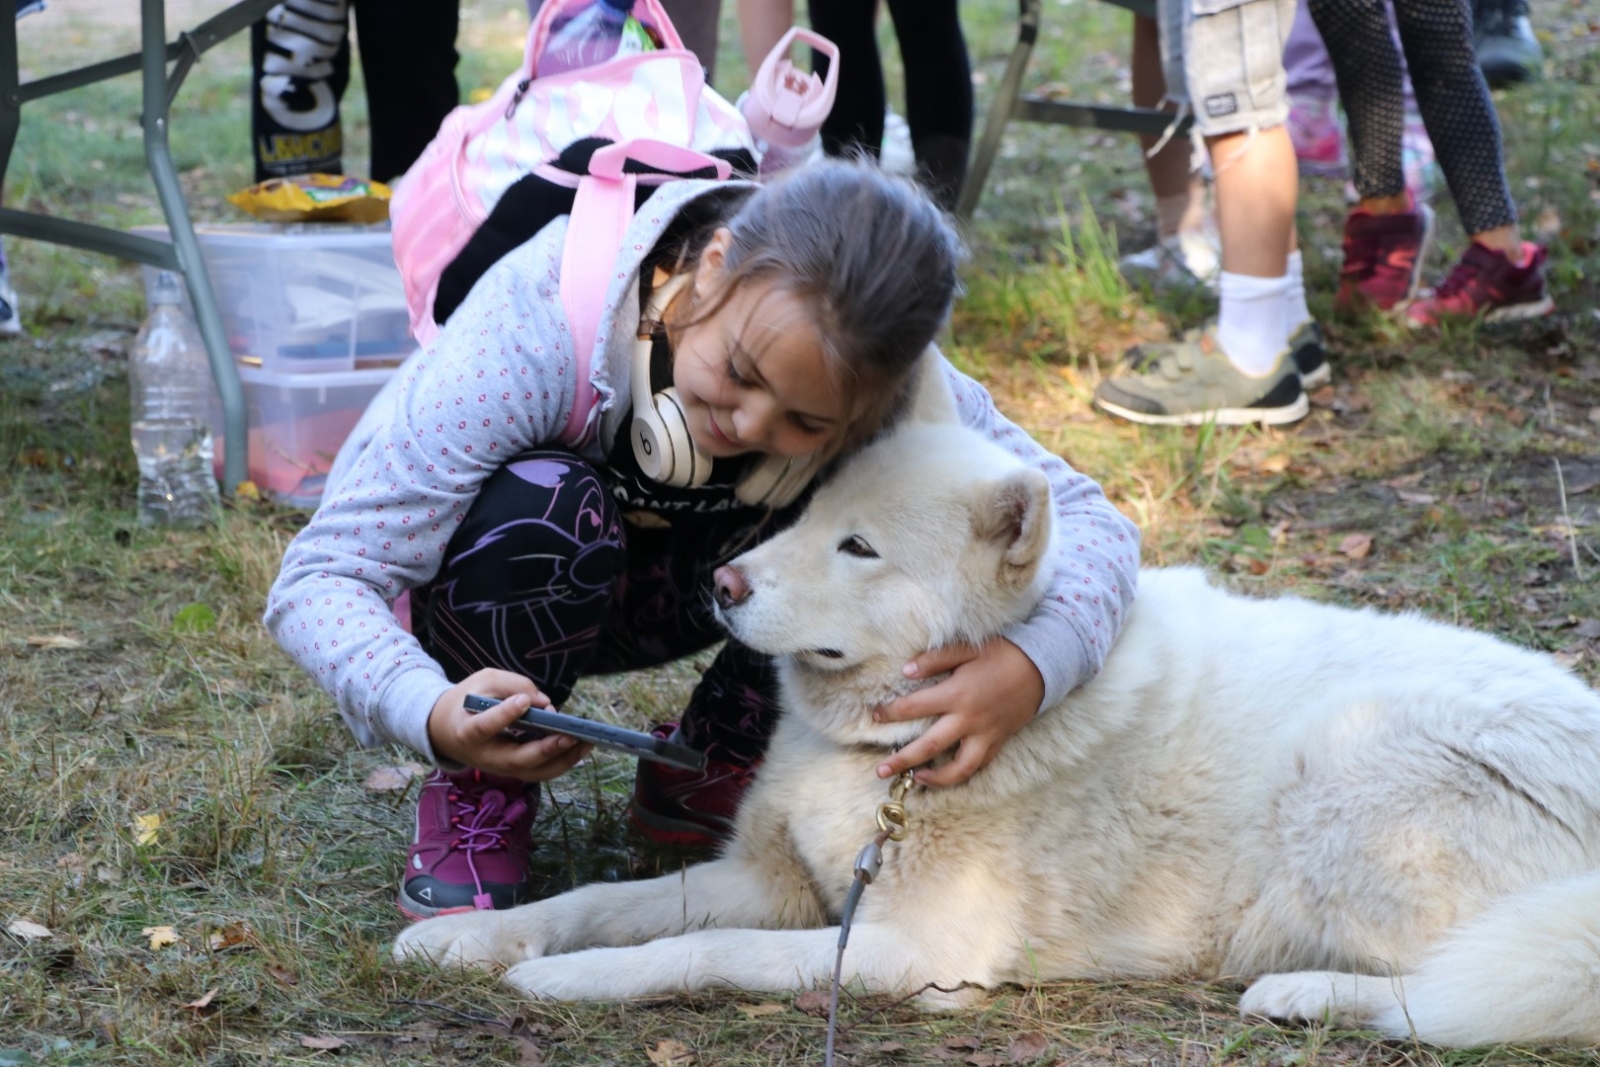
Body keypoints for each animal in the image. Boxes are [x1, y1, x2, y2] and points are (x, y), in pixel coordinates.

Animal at [393, 419, 1600, 1049]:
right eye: (807, 516)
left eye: (861, 547)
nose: (723, 583)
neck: (875, 754)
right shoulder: (772, 882)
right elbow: (600, 901)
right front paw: (472, 938)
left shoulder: (907, 951)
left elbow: (695, 950)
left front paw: (569, 982)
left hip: (1347, 788)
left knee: (1456, 987)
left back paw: (1303, 994)